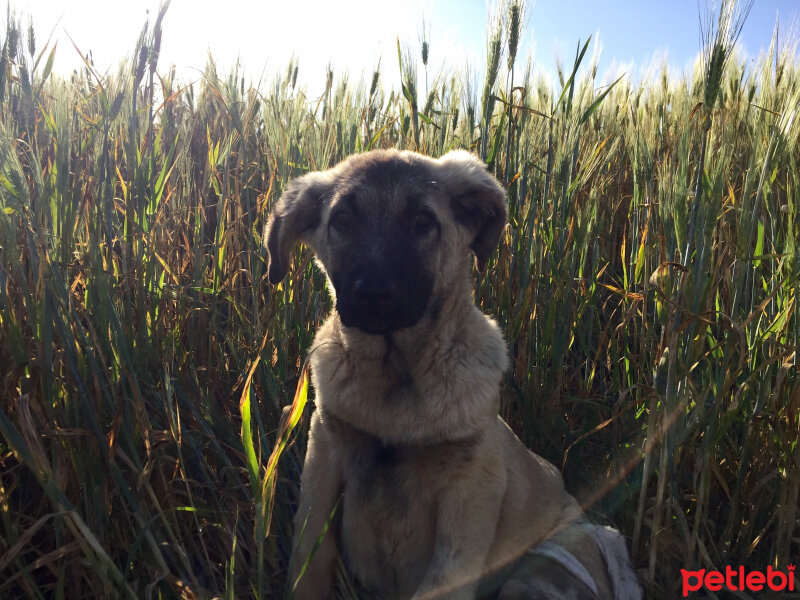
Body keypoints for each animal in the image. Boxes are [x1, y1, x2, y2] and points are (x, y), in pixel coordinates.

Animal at [266, 148, 640, 596]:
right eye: (341, 220)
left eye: (422, 221)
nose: (372, 294)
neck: (397, 378)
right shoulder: (325, 451)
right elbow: (309, 555)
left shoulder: (470, 488)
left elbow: (444, 578)